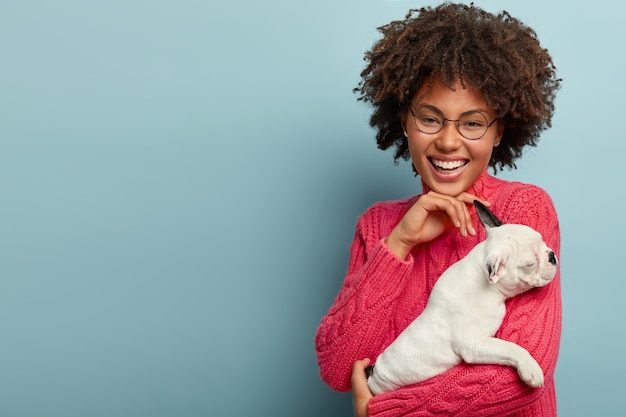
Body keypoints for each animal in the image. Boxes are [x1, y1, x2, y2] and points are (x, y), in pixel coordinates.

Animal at [366, 201, 556, 394]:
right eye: (530, 264)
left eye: (542, 240)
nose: (552, 256)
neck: (484, 282)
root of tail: (373, 375)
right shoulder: (475, 344)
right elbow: (510, 347)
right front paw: (529, 367)